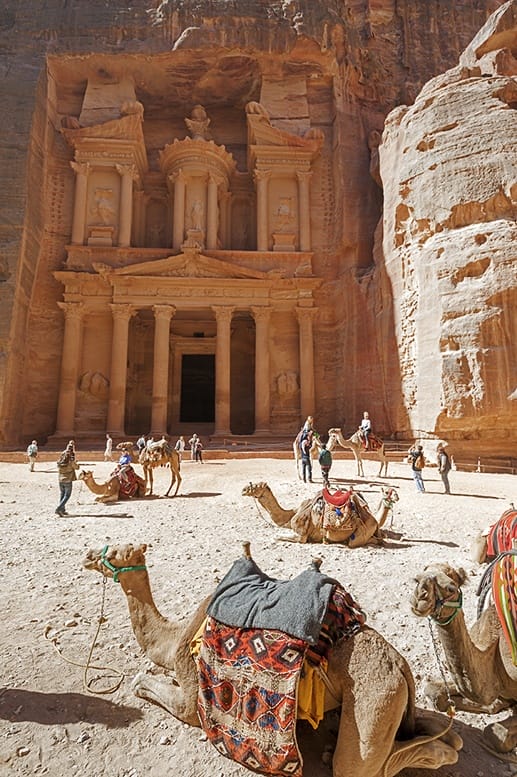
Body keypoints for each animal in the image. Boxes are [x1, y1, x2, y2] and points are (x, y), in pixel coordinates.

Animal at [82, 540, 462, 776]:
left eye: (119, 551)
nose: (88, 555)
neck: (175, 636)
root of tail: (401, 666)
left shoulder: (193, 692)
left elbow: (152, 689)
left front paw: (139, 680)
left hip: (375, 703)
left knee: (364, 767)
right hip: (395, 703)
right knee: (441, 734)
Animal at [242, 478, 400, 544]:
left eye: (256, 486)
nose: (244, 490)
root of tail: (374, 521)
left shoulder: (301, 535)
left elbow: (277, 537)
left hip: (361, 533)